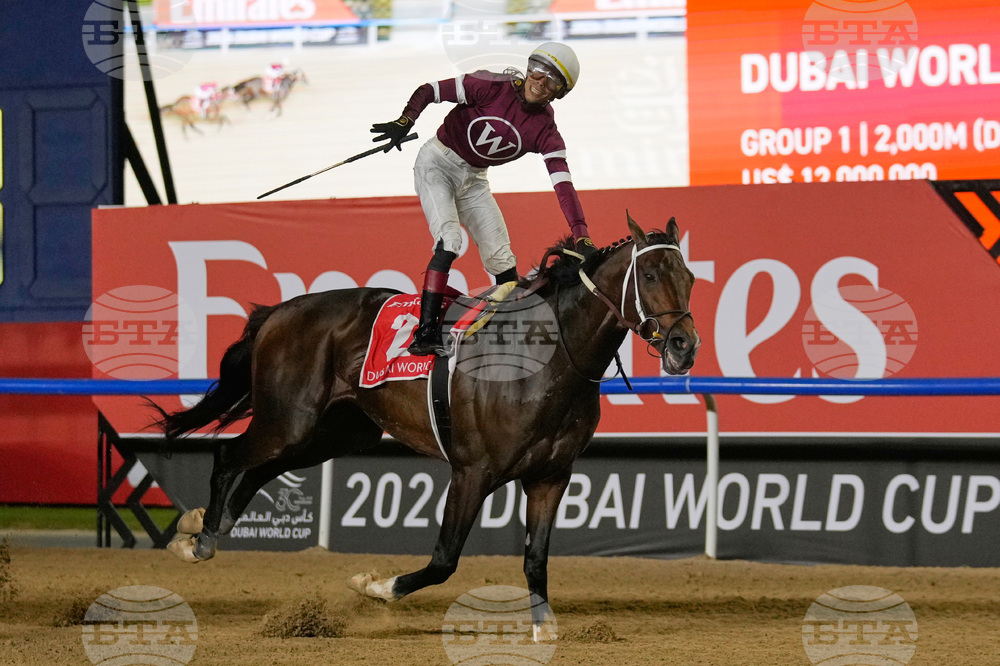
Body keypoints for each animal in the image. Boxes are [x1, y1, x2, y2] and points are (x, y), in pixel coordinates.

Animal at [154, 212, 699, 639]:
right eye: (650, 274)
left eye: (690, 277)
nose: (683, 345)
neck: (547, 355)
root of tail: (280, 310)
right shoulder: (472, 471)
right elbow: (444, 560)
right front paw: (374, 585)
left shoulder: (550, 475)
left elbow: (536, 558)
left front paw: (544, 626)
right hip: (290, 418)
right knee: (231, 456)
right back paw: (199, 540)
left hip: (335, 431)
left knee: (261, 468)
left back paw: (205, 524)